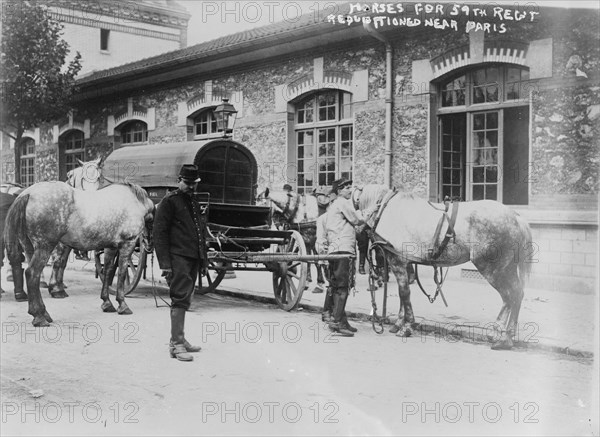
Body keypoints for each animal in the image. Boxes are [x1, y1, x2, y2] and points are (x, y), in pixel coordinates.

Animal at [4, 179, 155, 326]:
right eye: (152, 222)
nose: (149, 245)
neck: (134, 202)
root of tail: (27, 194)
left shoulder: (110, 247)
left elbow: (108, 272)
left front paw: (107, 303)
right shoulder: (127, 244)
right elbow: (122, 273)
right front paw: (122, 305)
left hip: (30, 248)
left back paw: (44, 313)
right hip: (45, 247)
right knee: (32, 274)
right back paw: (39, 317)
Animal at [46, 157, 103, 296]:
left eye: (99, 177)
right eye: (83, 178)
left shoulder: (68, 244)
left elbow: (63, 262)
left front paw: (59, 285)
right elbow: (57, 260)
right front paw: (55, 289)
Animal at [354, 184, 532, 350]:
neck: (385, 207)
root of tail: (516, 217)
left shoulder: (397, 262)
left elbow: (404, 293)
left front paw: (407, 327)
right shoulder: (404, 263)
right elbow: (402, 296)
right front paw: (399, 323)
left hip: (493, 269)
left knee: (509, 296)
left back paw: (502, 337)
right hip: (508, 268)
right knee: (517, 294)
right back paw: (508, 335)